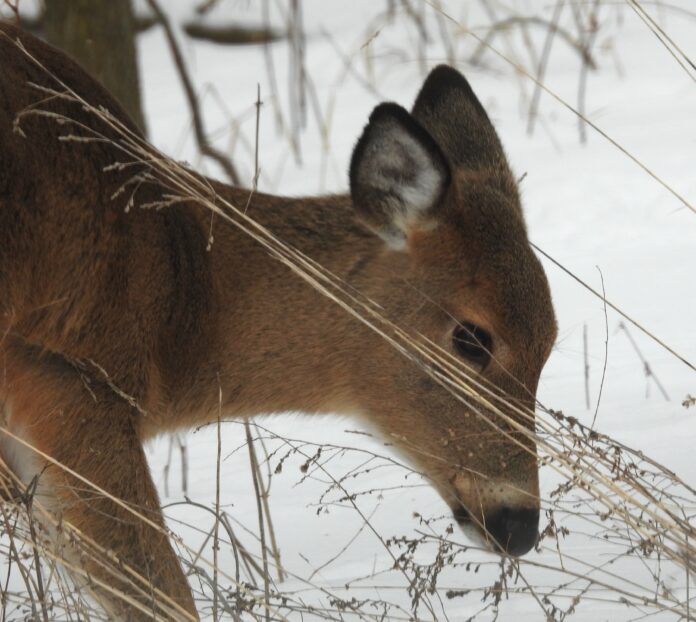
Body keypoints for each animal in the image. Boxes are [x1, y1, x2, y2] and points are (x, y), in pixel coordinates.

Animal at [0, 21, 557, 622]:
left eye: (550, 343)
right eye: (472, 338)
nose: (520, 526)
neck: (186, 295)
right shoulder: (75, 381)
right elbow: (159, 595)